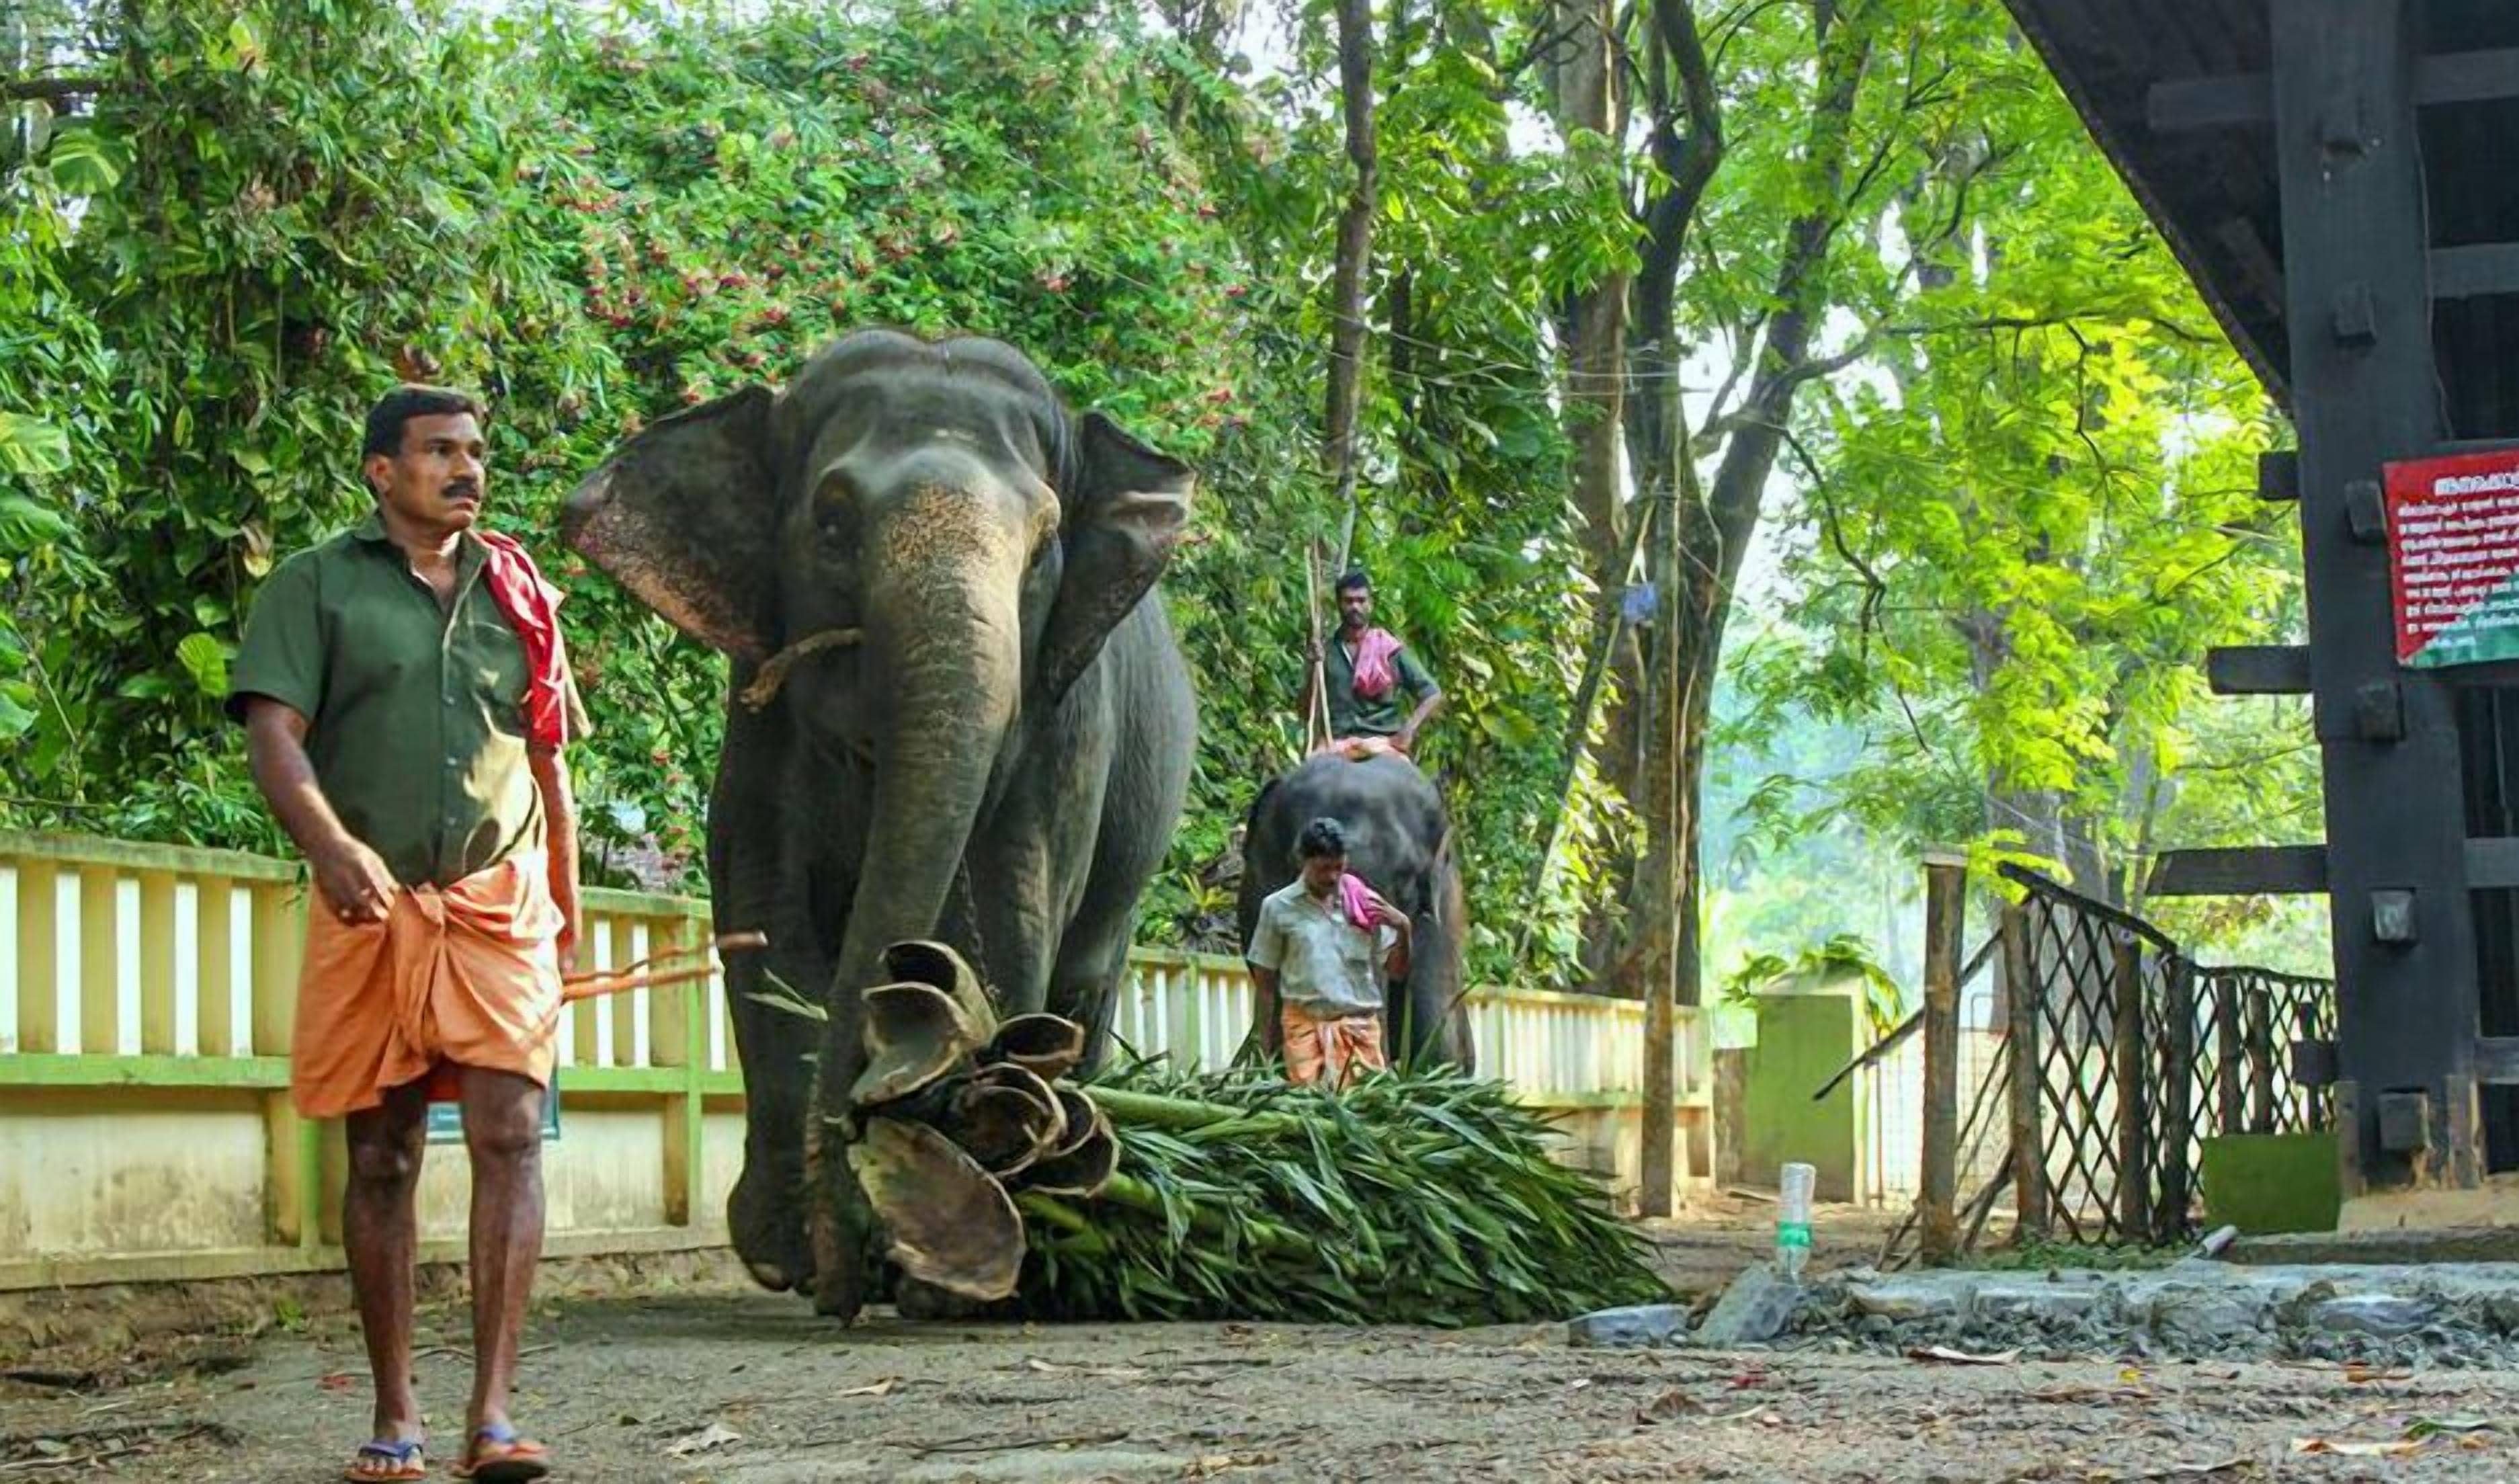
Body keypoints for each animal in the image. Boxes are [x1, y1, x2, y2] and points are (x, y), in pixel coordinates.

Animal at [561, 329, 1199, 1319]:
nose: (846, 1279)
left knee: (1088, 973)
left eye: (1045, 543)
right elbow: (767, 917)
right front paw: (790, 1252)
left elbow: (1012, 912)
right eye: (831, 521)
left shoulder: (1066, 717)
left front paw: (947, 1261)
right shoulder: (761, 718)